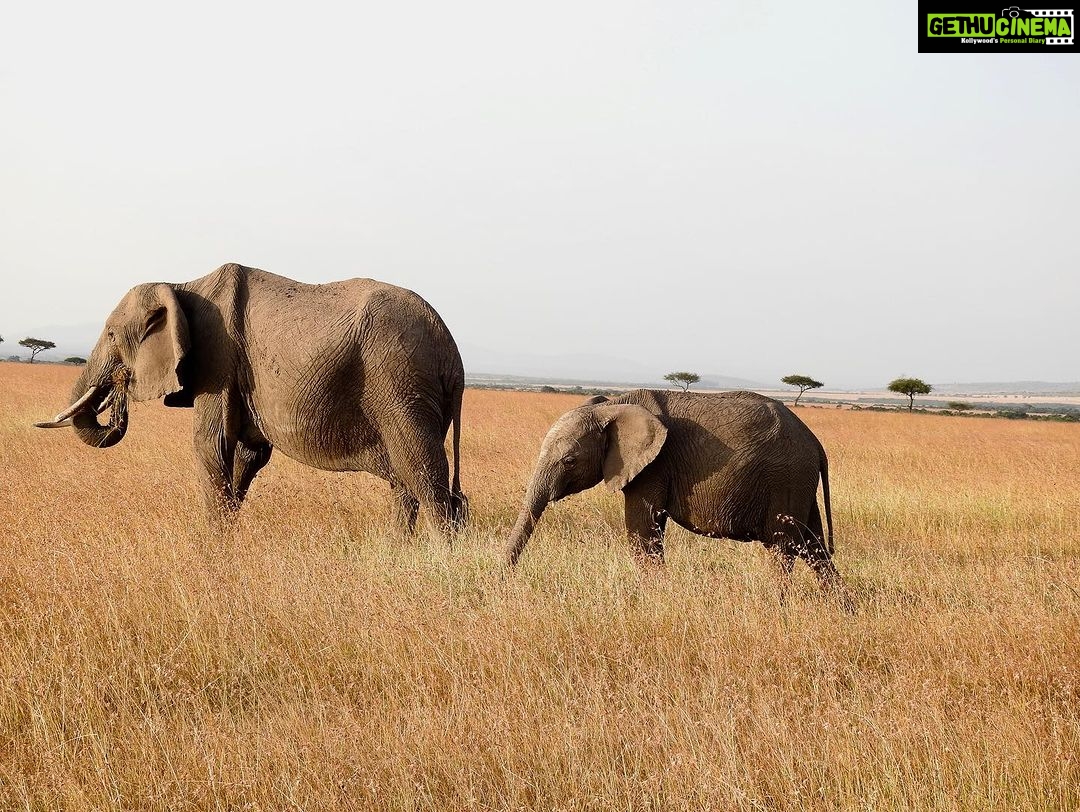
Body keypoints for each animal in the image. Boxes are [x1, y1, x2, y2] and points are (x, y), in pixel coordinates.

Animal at [35, 263, 466, 536]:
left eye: (111, 335)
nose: (119, 384)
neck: (182, 284)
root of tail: (451, 349)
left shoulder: (219, 358)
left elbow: (211, 445)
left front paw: (211, 548)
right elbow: (248, 454)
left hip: (400, 383)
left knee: (423, 474)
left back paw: (439, 558)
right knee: (406, 482)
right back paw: (398, 550)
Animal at [504, 389, 843, 595]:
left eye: (570, 461)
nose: (502, 581)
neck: (612, 405)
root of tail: (816, 443)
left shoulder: (655, 464)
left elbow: (642, 531)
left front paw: (654, 599)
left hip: (786, 479)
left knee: (783, 548)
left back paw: (775, 606)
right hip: (798, 484)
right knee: (814, 548)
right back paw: (843, 611)